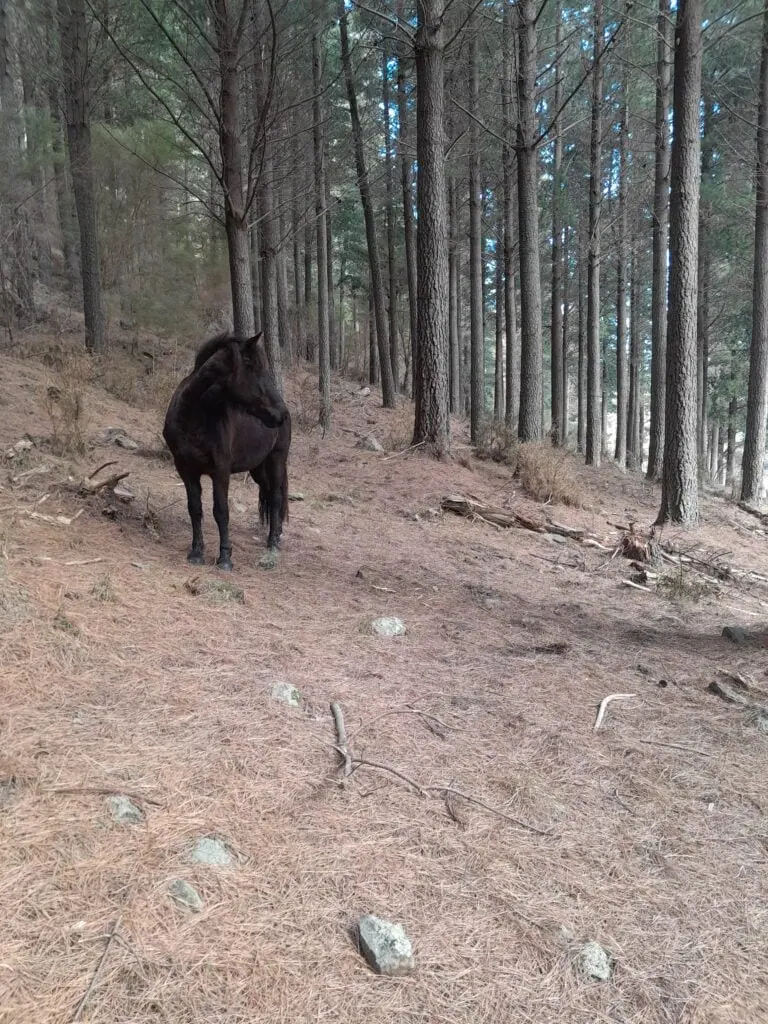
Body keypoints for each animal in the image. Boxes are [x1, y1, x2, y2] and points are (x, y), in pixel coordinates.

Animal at [163, 332, 291, 571]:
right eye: (250, 365)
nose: (281, 413)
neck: (193, 415)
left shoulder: (220, 471)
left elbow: (221, 511)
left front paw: (224, 557)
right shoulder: (185, 469)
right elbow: (195, 508)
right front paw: (196, 552)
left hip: (277, 460)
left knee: (277, 497)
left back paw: (273, 543)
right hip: (257, 468)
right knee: (269, 493)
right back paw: (276, 535)